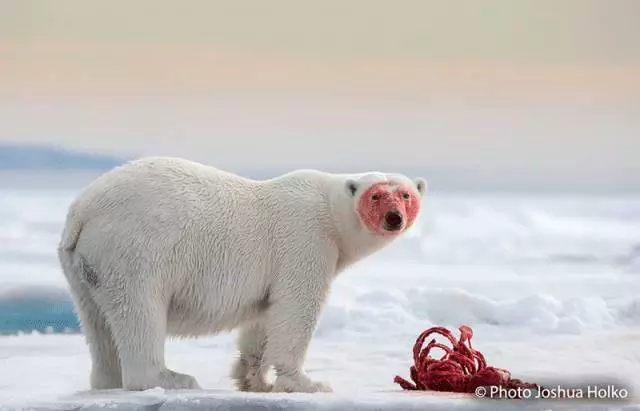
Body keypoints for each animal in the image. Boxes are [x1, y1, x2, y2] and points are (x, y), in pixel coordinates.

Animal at [57, 156, 428, 394]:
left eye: (406, 194)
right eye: (376, 194)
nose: (394, 218)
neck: (330, 211)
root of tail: (82, 210)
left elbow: (265, 318)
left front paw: (254, 380)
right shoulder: (306, 241)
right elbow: (296, 309)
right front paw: (308, 383)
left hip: (84, 266)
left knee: (97, 323)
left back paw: (107, 381)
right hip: (136, 250)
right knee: (140, 312)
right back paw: (171, 378)